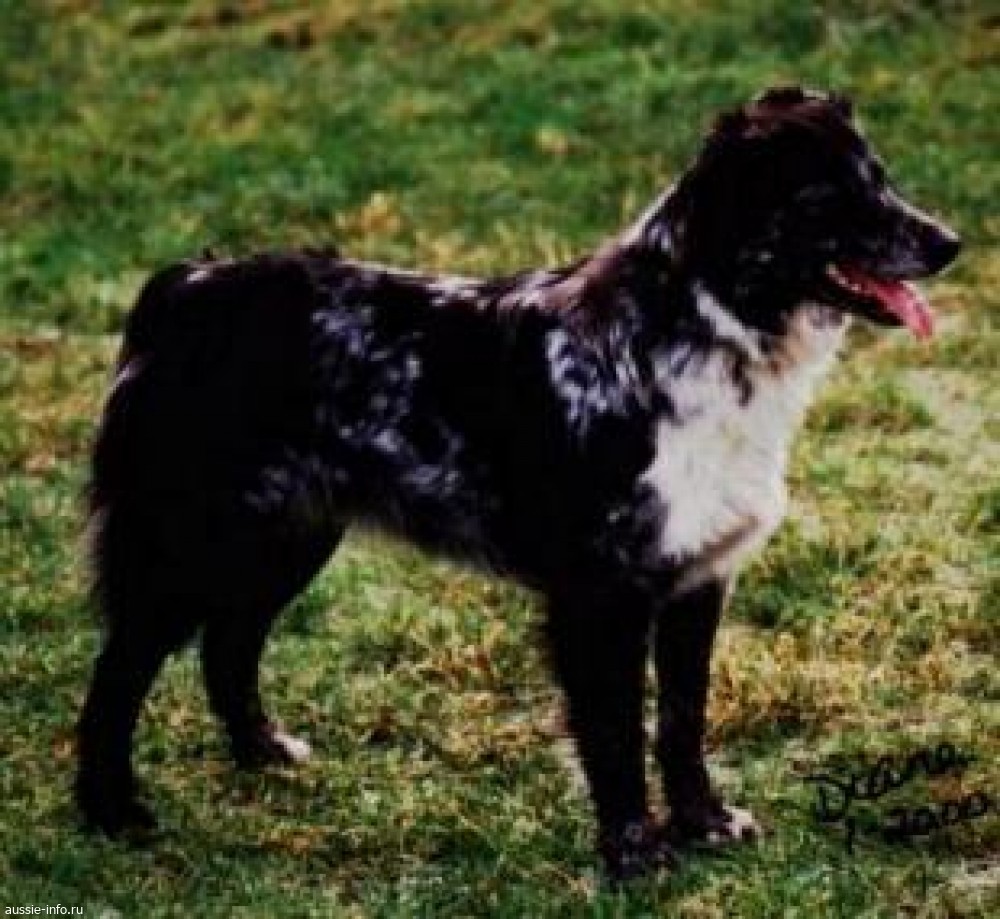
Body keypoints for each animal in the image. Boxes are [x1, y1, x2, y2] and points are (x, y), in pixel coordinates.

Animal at [76, 87, 959, 878]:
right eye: (826, 195)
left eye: (880, 177)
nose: (949, 241)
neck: (693, 329)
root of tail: (186, 286)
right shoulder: (601, 593)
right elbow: (615, 731)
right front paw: (634, 853)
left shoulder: (696, 578)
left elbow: (681, 718)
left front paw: (703, 822)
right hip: (191, 545)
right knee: (118, 671)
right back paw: (109, 810)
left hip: (286, 536)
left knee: (229, 643)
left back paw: (261, 751)